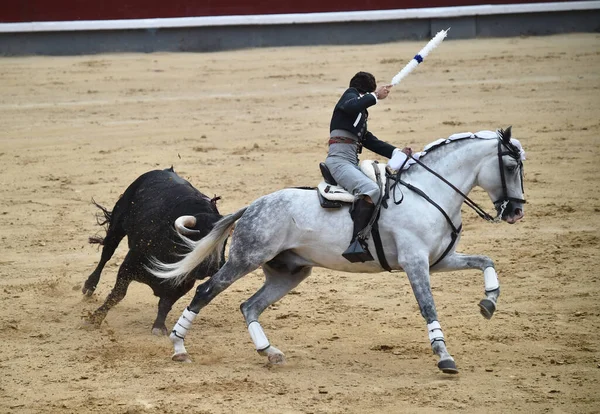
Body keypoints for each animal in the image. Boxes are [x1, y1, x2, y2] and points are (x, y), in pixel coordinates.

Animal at [83, 167, 224, 334]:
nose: (215, 267)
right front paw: (95, 319)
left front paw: (158, 327)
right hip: (117, 226)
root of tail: (165, 170)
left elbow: (165, 304)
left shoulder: (184, 283)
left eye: (225, 240)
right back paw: (89, 286)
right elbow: (117, 294)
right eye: (200, 239)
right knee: (106, 255)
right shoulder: (129, 265)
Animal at [149, 128, 524, 374]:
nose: (516, 211)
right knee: (205, 292)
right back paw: (179, 347)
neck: (427, 192)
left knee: (249, 306)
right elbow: (428, 306)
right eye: (510, 167)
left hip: (289, 273)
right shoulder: (415, 262)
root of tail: (253, 205)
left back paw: (270, 352)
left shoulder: (439, 260)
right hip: (245, 259)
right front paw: (444, 356)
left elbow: (485, 261)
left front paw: (489, 302)